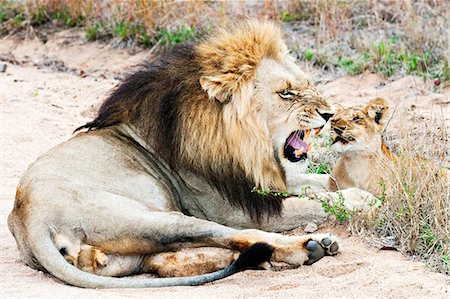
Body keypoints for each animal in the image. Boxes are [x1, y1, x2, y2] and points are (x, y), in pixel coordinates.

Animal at [7, 19, 372, 288]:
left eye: (306, 83)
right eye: (286, 93)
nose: (329, 113)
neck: (242, 144)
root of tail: (29, 218)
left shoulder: (256, 182)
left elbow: (320, 183)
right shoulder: (237, 209)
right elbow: (310, 202)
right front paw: (363, 199)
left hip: (126, 252)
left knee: (163, 261)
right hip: (157, 217)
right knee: (237, 237)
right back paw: (309, 247)